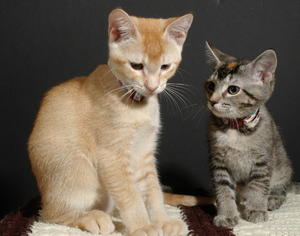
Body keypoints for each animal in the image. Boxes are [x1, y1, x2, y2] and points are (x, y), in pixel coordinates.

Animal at [27, 8, 193, 235]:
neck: (137, 104)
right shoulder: (111, 155)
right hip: (77, 170)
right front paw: (142, 226)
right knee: (51, 216)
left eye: (165, 66)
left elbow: (153, 190)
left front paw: (162, 221)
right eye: (136, 66)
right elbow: (130, 195)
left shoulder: (144, 151)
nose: (152, 86)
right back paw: (91, 218)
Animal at [205, 41, 292, 228]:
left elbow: (259, 186)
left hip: (283, 166)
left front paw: (257, 209)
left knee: (281, 188)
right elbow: (223, 189)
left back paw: (272, 199)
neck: (236, 129)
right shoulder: (218, 162)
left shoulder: (263, 160)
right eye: (210, 86)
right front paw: (227, 215)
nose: (212, 100)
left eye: (233, 89)